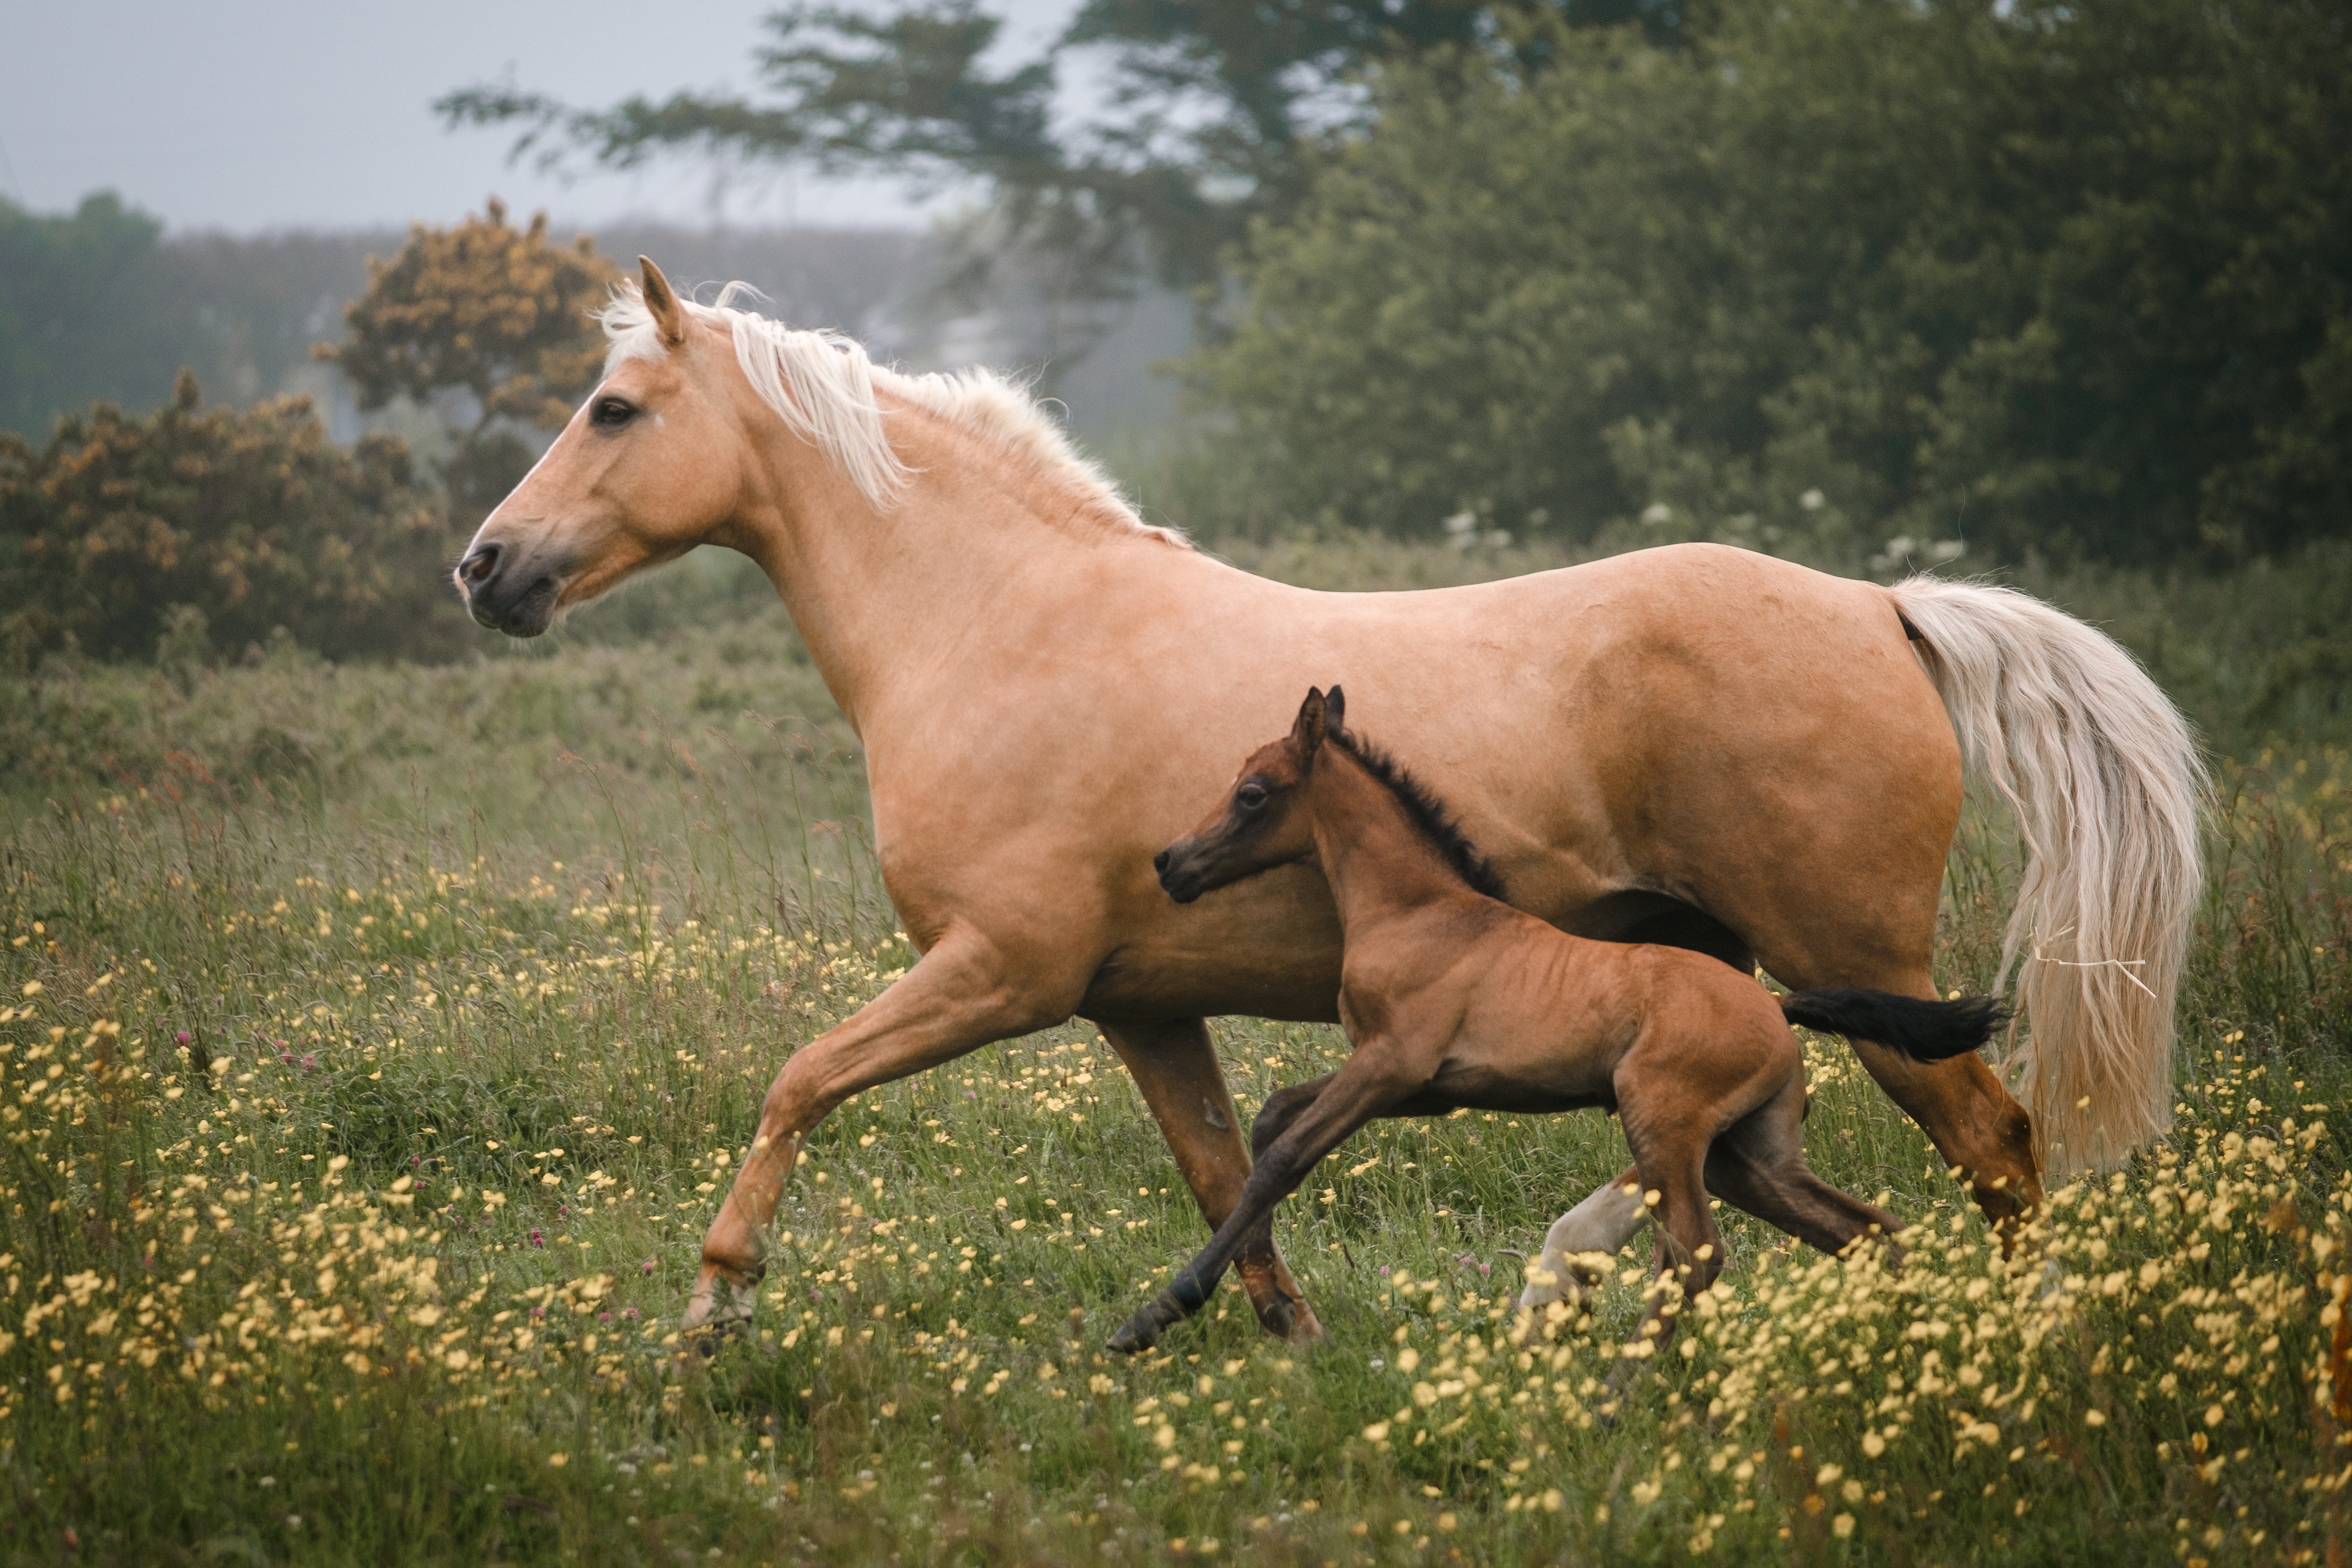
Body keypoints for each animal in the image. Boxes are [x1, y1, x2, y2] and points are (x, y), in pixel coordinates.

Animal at [1114, 691, 2004, 1363]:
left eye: (1253, 791)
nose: (1170, 863)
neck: (1417, 911)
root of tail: (1775, 1006)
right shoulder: (1420, 1084)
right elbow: (1270, 1121)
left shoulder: (1392, 1064)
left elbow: (1282, 1158)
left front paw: (1154, 1312)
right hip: (1745, 1153)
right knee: (1865, 1231)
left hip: (1666, 1125)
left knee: (1697, 1251)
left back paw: (1617, 1396)